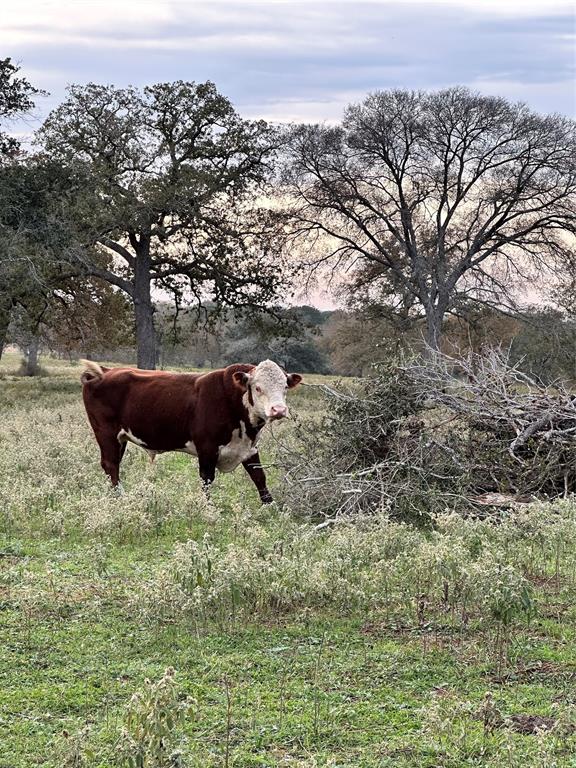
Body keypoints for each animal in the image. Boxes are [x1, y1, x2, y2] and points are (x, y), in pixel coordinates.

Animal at [82, 360, 306, 504]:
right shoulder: (207, 448)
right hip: (106, 432)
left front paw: (270, 505)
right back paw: (119, 497)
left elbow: (259, 476)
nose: (278, 410)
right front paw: (208, 509)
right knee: (111, 464)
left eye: (285, 387)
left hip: (120, 438)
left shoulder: (249, 448)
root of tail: (105, 371)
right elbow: (207, 479)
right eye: (258, 388)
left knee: (114, 465)